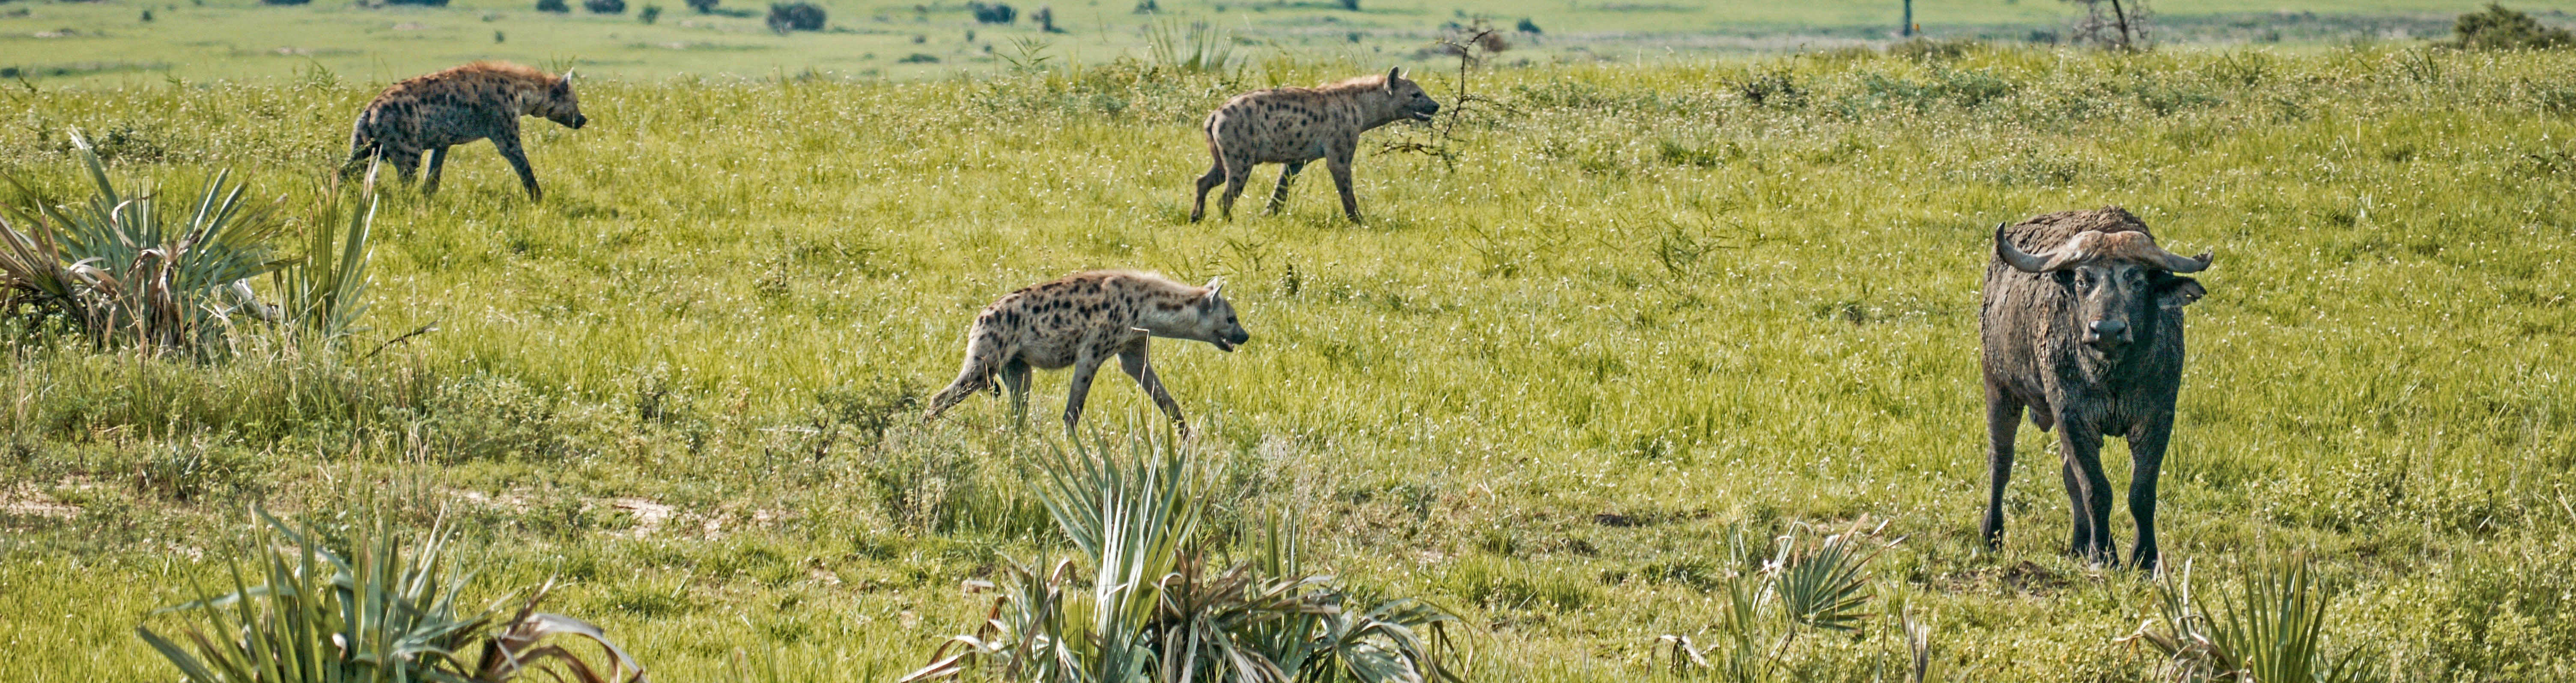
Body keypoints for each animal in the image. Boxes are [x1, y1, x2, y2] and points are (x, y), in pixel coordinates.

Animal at [1968, 205, 2215, 567]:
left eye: (2137, 280)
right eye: (2084, 280)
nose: (2107, 330)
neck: (2113, 376)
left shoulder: (2157, 417)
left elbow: (2141, 492)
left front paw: (2145, 558)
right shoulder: (2072, 415)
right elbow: (2096, 489)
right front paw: (2105, 556)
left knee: (2067, 474)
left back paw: (2080, 542)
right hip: (1998, 384)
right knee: (2001, 460)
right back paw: (1992, 534)